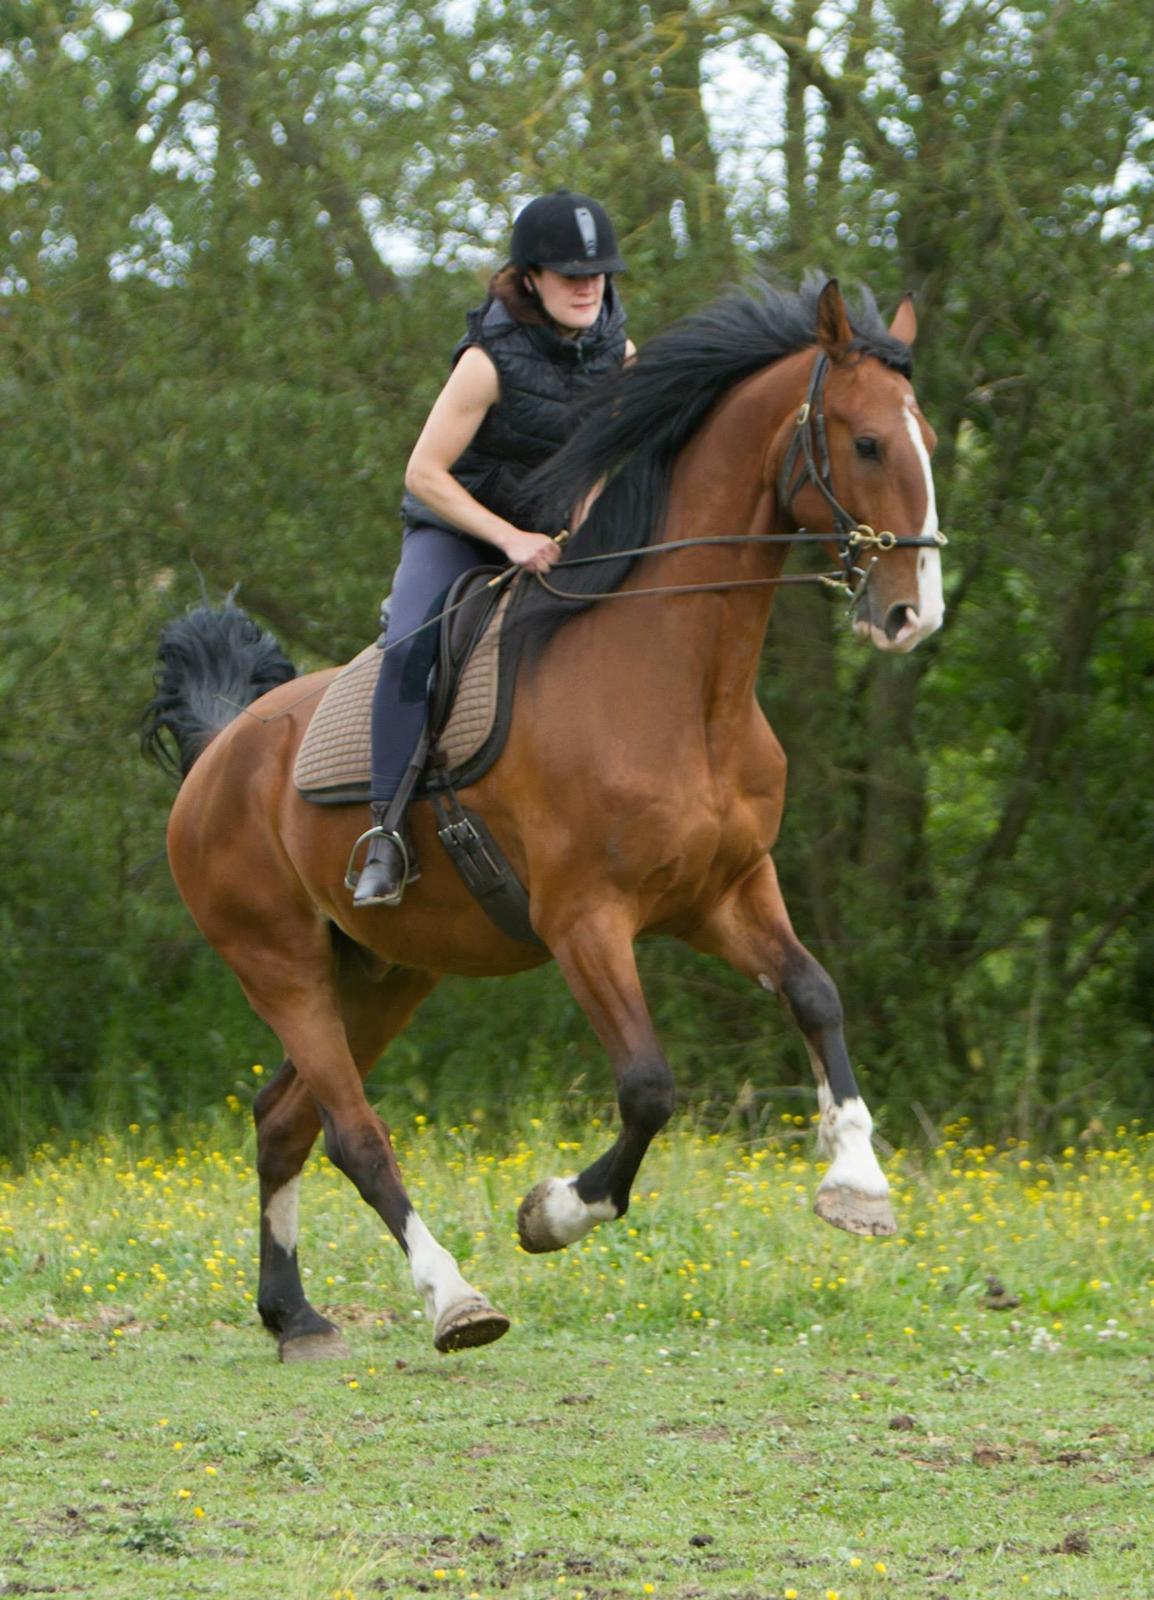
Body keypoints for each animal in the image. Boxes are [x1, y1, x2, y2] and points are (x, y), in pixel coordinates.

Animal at [141, 278, 947, 1363]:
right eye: (864, 443)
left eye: (926, 440)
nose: (912, 614)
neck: (681, 681)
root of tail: (221, 750)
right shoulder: (584, 921)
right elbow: (648, 1085)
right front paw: (553, 1213)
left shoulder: (728, 893)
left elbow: (816, 995)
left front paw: (856, 1181)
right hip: (281, 964)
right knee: (354, 1133)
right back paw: (452, 1297)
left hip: (386, 974)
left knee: (283, 1121)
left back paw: (294, 1316)